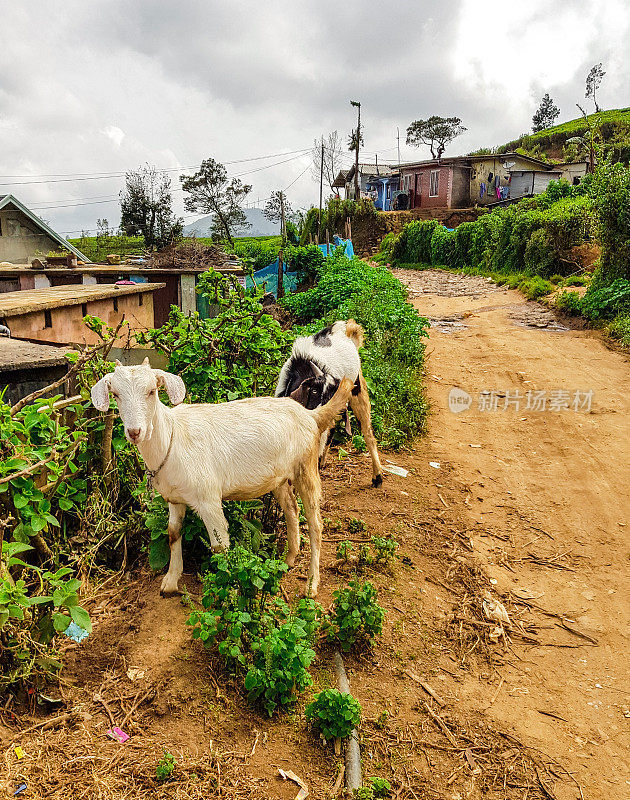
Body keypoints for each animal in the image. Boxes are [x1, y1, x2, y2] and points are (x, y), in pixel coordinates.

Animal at [91, 360, 354, 596]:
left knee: (315, 523)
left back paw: (311, 585)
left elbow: (220, 546)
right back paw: (289, 558)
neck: (171, 439)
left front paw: (227, 590)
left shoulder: (208, 500)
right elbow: (173, 533)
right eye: (115, 394)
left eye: (152, 391)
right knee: (291, 508)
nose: (135, 432)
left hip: (306, 466)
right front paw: (170, 582)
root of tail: (311, 416)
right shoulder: (174, 499)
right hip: (279, 477)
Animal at [276, 320, 386, 488]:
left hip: (359, 392)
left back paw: (377, 476)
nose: (322, 412)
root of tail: (346, 331)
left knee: (367, 433)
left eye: (332, 395)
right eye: (314, 391)